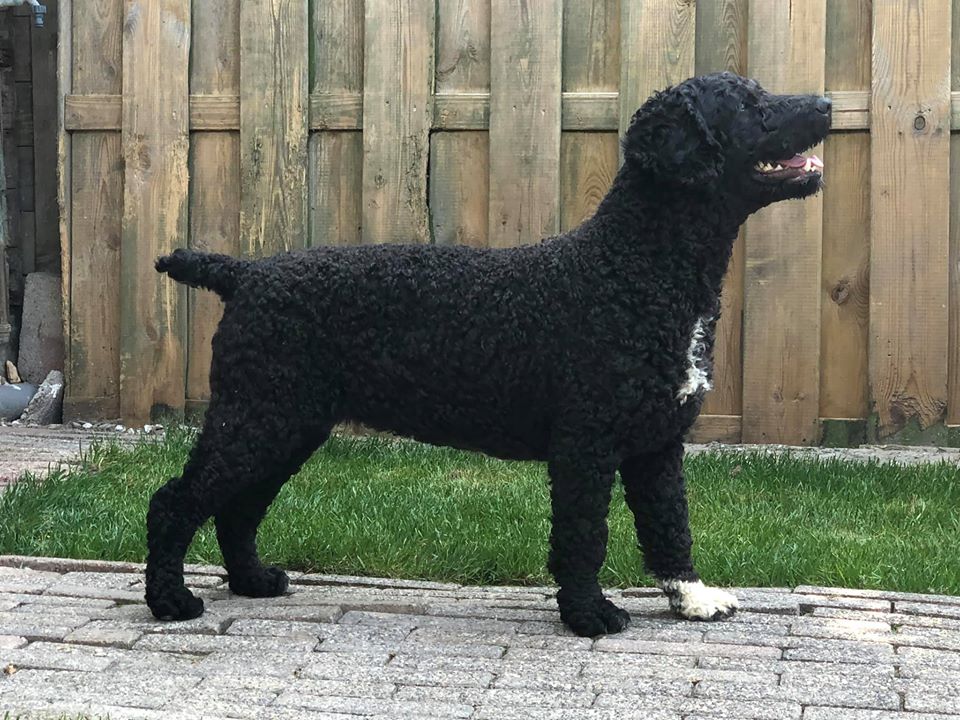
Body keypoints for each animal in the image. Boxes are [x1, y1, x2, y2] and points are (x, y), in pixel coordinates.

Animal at [146, 71, 828, 636]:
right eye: (749, 105)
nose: (825, 104)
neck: (630, 268)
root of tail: (247, 273)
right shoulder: (586, 447)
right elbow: (584, 536)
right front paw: (589, 614)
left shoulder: (657, 445)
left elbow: (670, 525)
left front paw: (692, 597)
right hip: (258, 419)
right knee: (175, 501)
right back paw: (170, 601)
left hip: (286, 426)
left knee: (237, 508)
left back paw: (253, 581)